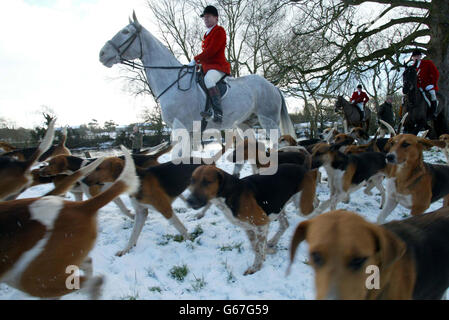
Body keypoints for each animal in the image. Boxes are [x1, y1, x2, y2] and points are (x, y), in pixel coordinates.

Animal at [98, 11, 296, 139]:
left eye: (125, 32)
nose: (102, 54)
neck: (171, 82)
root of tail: (272, 86)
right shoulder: (190, 131)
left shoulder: (181, 129)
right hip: (244, 123)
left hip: (268, 121)